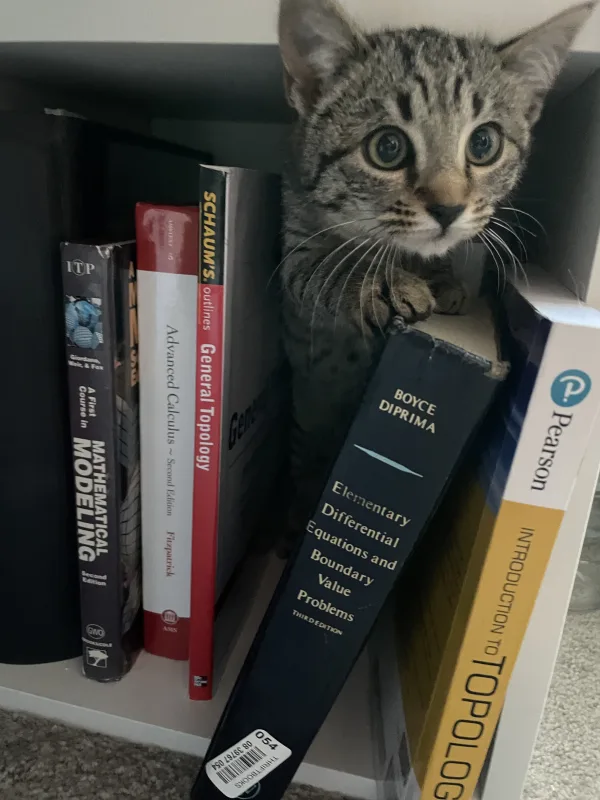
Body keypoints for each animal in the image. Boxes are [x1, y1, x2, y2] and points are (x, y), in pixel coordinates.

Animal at [276, 0, 596, 544]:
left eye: (484, 143)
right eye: (387, 148)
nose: (449, 208)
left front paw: (445, 280)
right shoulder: (292, 250)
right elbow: (326, 267)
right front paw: (386, 282)